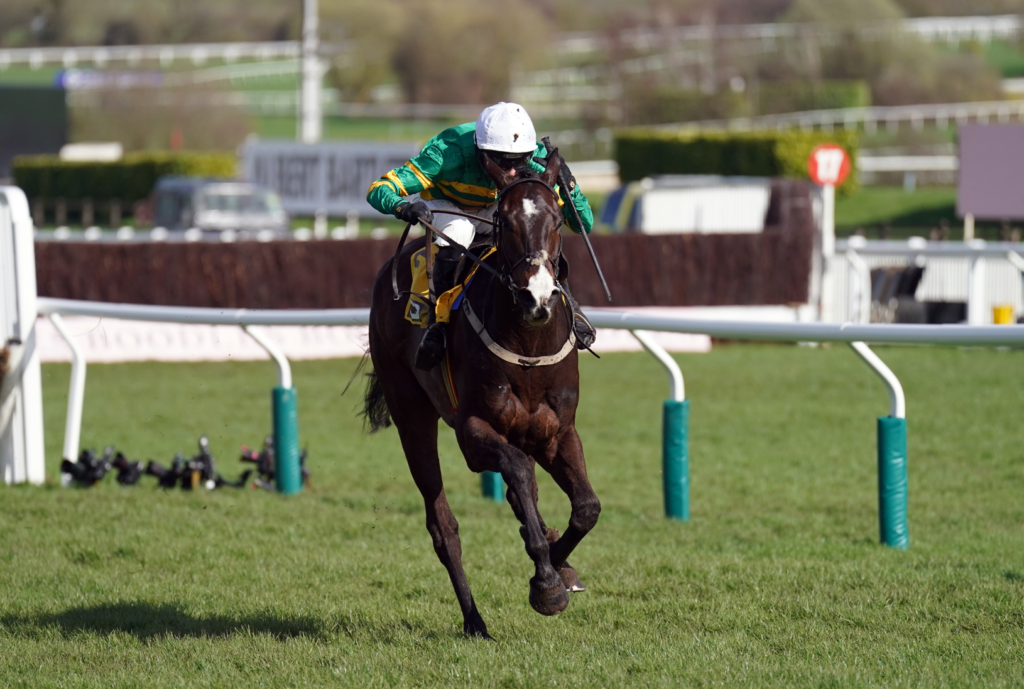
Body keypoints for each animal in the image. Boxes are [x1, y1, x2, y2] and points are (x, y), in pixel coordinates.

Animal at [364, 153, 598, 638]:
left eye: (555, 219)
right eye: (504, 222)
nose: (537, 298)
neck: (529, 344)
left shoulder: (558, 431)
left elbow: (586, 507)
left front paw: (557, 566)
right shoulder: (473, 431)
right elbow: (516, 472)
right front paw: (546, 583)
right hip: (410, 412)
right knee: (443, 526)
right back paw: (475, 620)